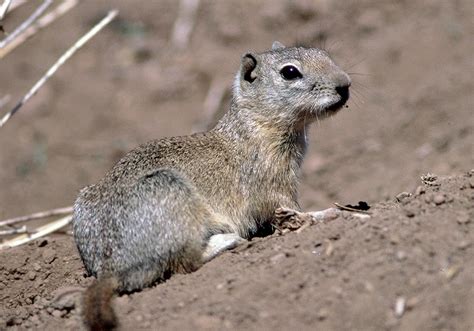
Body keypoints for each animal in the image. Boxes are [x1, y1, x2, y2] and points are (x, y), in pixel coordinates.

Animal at [73, 40, 348, 330]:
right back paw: (227, 239)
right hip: (171, 193)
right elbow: (291, 210)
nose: (345, 85)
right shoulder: (274, 184)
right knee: (187, 263)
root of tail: (108, 271)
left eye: (324, 54)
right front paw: (328, 213)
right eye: (290, 72)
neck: (256, 125)